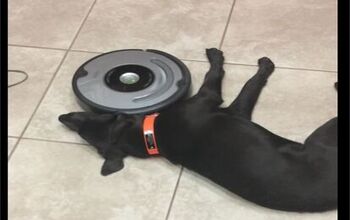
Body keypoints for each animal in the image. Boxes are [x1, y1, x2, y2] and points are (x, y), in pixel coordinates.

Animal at [59, 49, 336, 212]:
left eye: (95, 116)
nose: (64, 117)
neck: (150, 135)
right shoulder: (219, 102)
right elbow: (239, 81)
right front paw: (255, 65)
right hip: (324, 132)